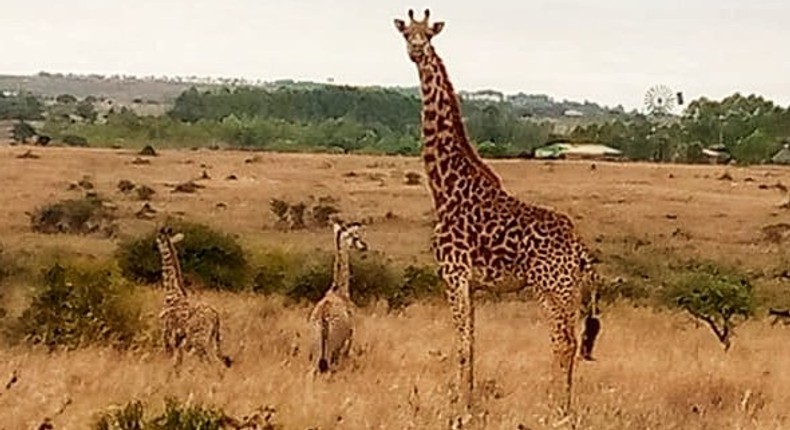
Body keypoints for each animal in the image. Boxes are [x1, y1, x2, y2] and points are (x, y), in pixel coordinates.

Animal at [155, 225, 234, 372]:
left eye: (158, 238)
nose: (154, 245)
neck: (172, 290)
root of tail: (216, 316)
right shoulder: (179, 337)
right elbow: (177, 363)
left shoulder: (167, 330)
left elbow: (170, 358)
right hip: (210, 339)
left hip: (200, 340)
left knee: (210, 363)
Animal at [310, 220, 372, 374]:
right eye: (355, 236)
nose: (365, 246)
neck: (339, 290)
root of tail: (323, 319)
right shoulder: (349, 339)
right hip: (332, 350)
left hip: (317, 352)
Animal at [392, 8, 604, 424]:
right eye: (407, 33)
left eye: (428, 34)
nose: (416, 50)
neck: (445, 188)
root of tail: (578, 248)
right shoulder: (470, 282)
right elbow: (472, 344)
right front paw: (469, 406)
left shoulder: (454, 273)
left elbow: (462, 345)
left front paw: (460, 413)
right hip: (568, 290)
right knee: (571, 342)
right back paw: (565, 408)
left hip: (550, 288)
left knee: (562, 342)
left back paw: (555, 412)